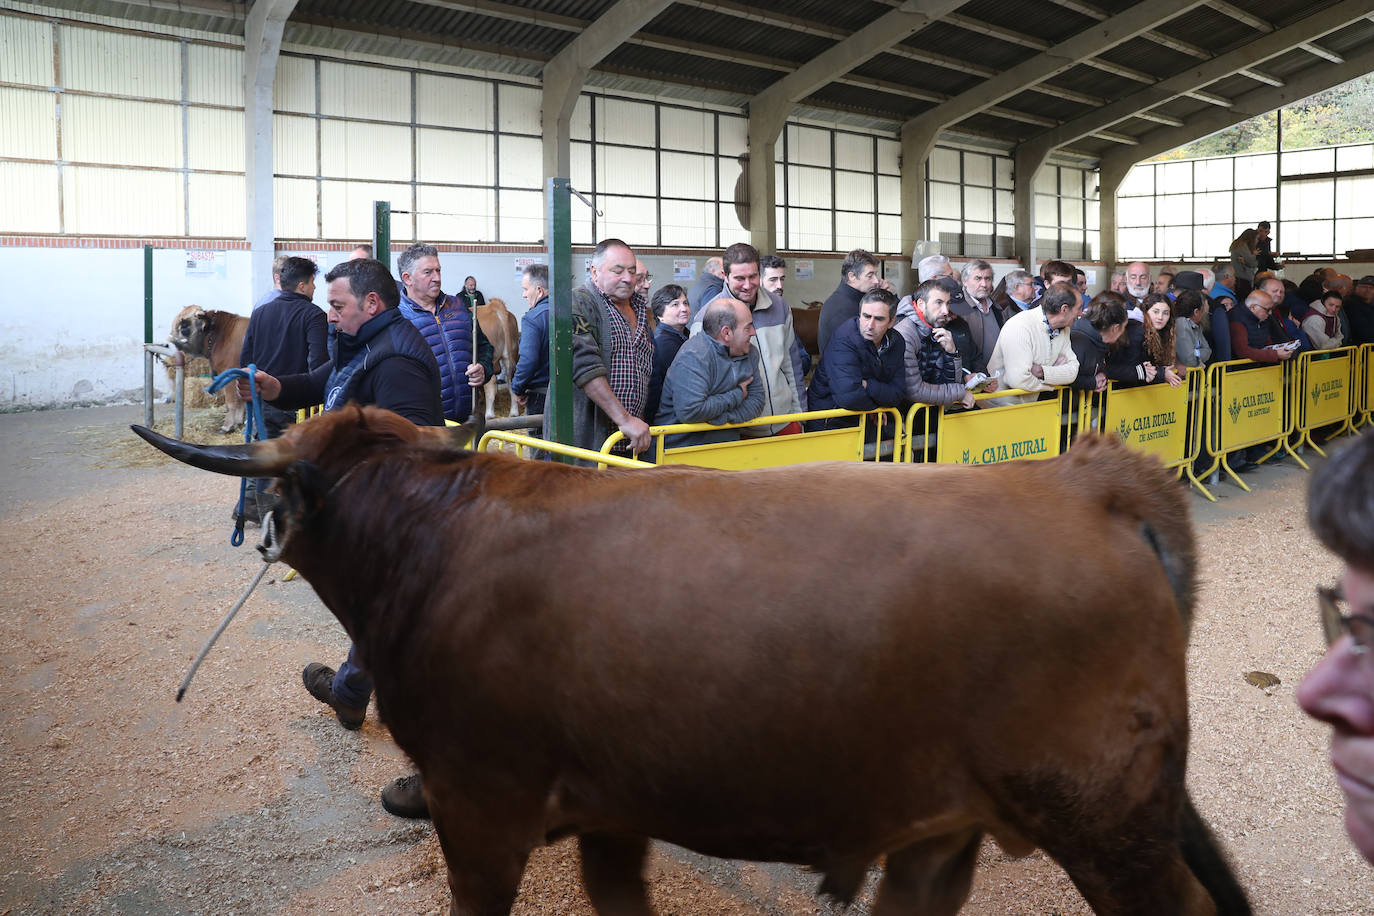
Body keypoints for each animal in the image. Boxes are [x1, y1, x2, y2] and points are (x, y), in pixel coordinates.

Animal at [133, 409, 1253, 916]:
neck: (433, 539)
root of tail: (1085, 476)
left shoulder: (482, 799)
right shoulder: (611, 807)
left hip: (1106, 822)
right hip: (948, 822)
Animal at [167, 304, 251, 433]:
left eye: (184, 325)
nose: (170, 340)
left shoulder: (229, 374)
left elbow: (231, 402)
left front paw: (227, 426)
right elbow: (239, 400)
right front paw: (237, 422)